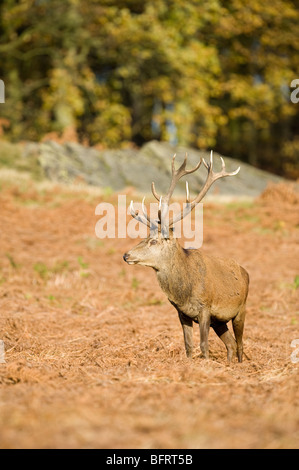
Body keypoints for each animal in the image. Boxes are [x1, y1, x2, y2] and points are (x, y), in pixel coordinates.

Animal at [123, 151, 250, 364]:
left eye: (154, 241)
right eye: (144, 237)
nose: (126, 255)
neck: (184, 291)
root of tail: (245, 272)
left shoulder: (205, 307)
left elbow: (203, 345)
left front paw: (205, 364)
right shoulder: (182, 313)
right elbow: (188, 345)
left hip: (241, 309)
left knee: (240, 343)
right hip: (219, 321)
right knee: (231, 343)